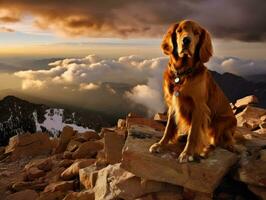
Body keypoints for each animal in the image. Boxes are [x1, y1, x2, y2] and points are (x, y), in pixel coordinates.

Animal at [150, 19, 237, 162]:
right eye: (179, 30)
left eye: (196, 33)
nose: (186, 40)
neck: (182, 73)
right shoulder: (173, 104)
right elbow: (168, 128)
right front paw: (160, 144)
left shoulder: (199, 107)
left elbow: (193, 134)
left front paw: (187, 153)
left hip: (219, 122)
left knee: (216, 142)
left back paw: (206, 150)